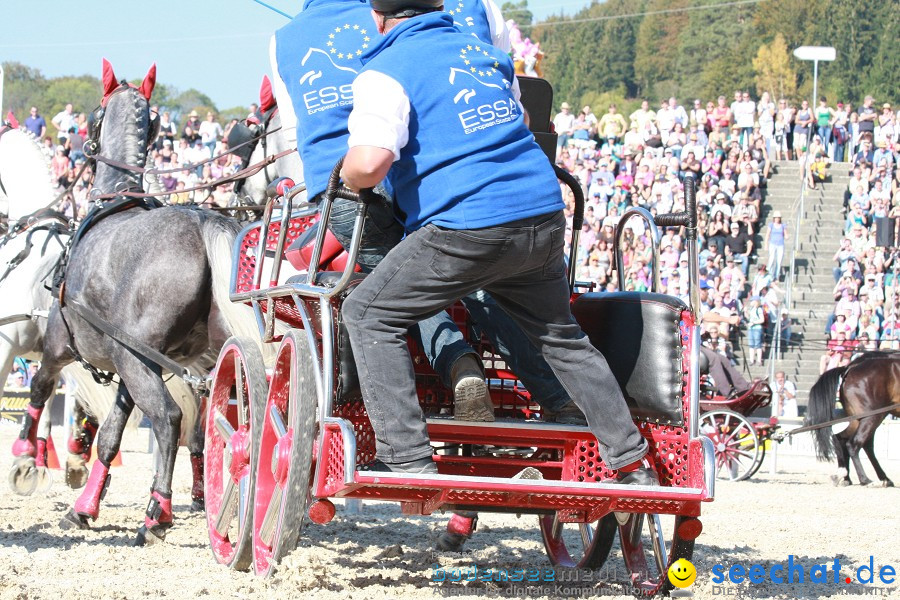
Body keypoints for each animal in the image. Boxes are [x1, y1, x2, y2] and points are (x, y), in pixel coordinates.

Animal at [11, 59, 256, 544]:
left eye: (92, 114)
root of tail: (200, 222)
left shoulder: (59, 345)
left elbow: (40, 389)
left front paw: (26, 454)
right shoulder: (134, 366)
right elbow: (109, 436)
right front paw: (83, 508)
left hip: (136, 361)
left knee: (168, 419)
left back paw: (158, 512)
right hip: (202, 359)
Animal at [808, 352, 900, 488]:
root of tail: (849, 368)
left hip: (859, 418)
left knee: (843, 439)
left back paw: (846, 476)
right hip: (871, 416)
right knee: (854, 443)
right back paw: (865, 479)